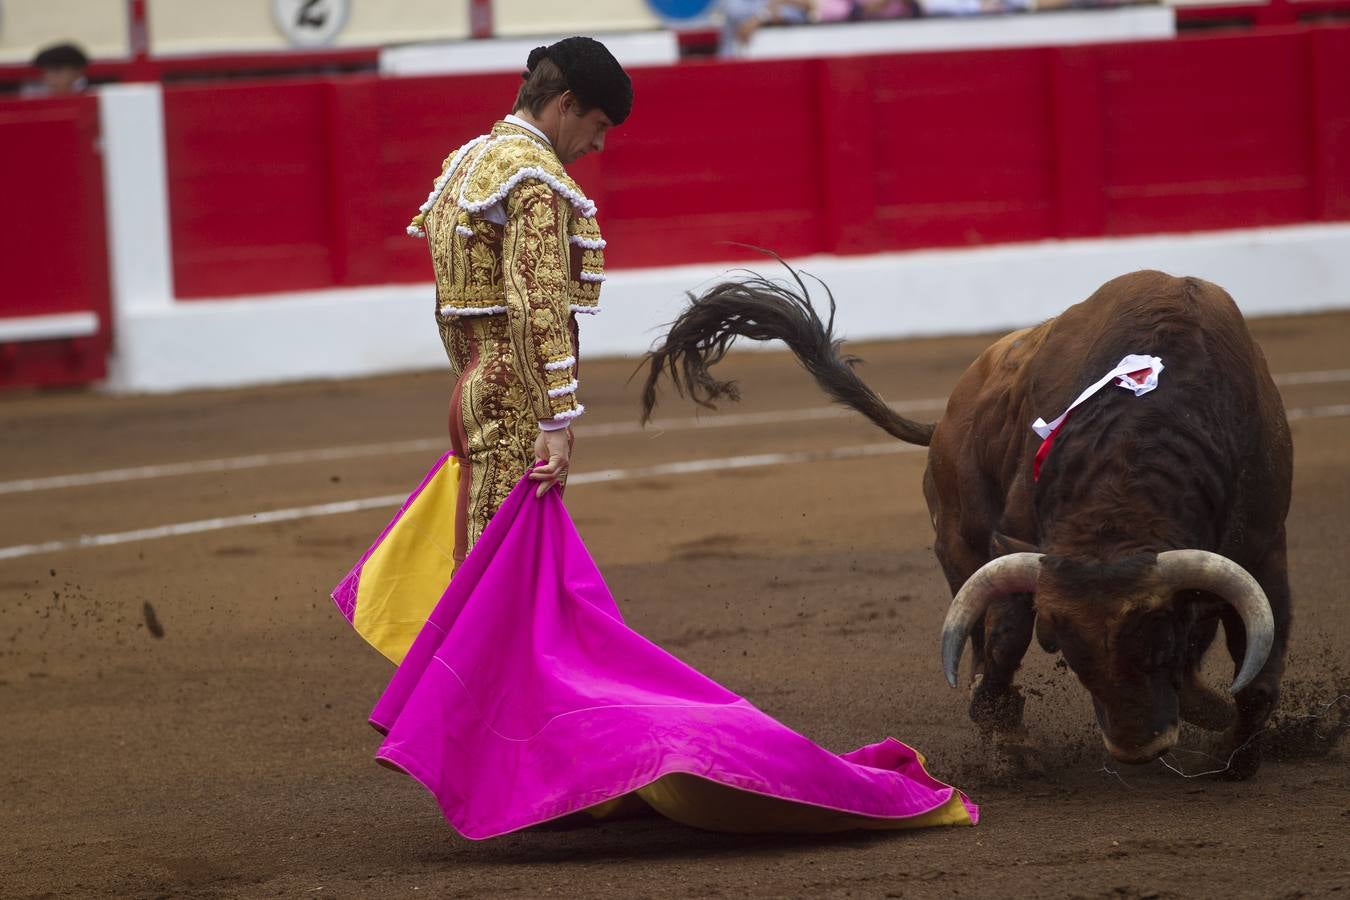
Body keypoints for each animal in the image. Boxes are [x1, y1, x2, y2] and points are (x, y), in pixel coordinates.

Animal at [642, 264, 1296, 777]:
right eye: (1068, 651)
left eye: (1162, 639)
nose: (1137, 748)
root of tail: (945, 422)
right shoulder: (1019, 546)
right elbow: (1005, 637)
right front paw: (1006, 736)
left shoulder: (1263, 549)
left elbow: (1258, 663)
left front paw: (1233, 754)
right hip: (956, 541)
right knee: (983, 632)